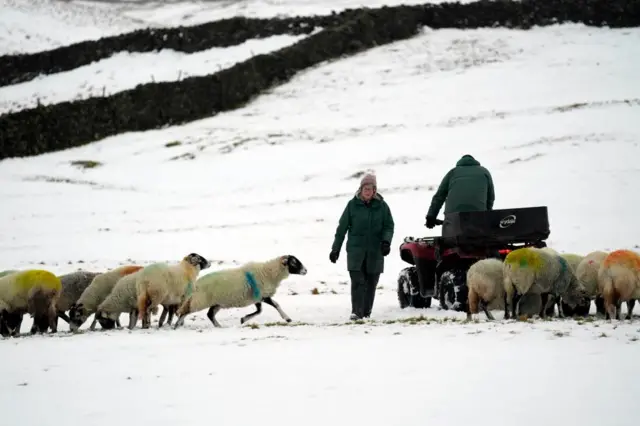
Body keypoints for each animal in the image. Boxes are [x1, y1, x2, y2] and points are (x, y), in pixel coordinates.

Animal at [172, 253, 308, 330]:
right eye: (294, 262)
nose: (306, 270)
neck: (268, 273)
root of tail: (197, 284)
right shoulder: (263, 295)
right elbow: (275, 305)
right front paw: (287, 318)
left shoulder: (258, 297)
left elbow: (259, 311)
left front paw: (243, 319)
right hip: (200, 301)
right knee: (185, 312)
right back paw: (176, 325)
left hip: (217, 303)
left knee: (209, 314)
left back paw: (219, 326)